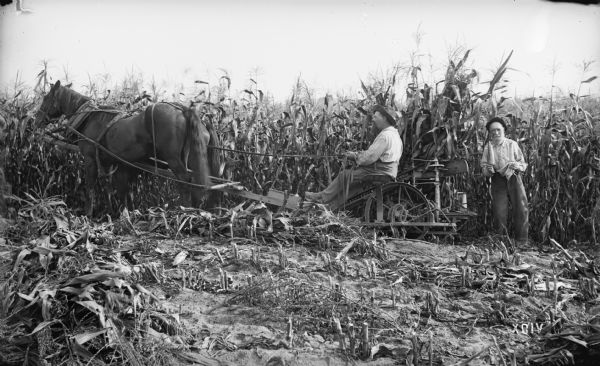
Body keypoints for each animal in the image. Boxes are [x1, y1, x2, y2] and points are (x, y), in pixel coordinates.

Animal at [34, 80, 220, 216]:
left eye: (46, 98)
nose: (36, 120)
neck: (89, 117)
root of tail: (183, 110)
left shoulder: (90, 158)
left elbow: (91, 186)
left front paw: (88, 214)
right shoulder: (109, 161)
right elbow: (111, 189)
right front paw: (114, 212)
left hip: (172, 158)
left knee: (185, 180)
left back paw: (184, 210)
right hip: (188, 155)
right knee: (194, 180)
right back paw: (195, 208)